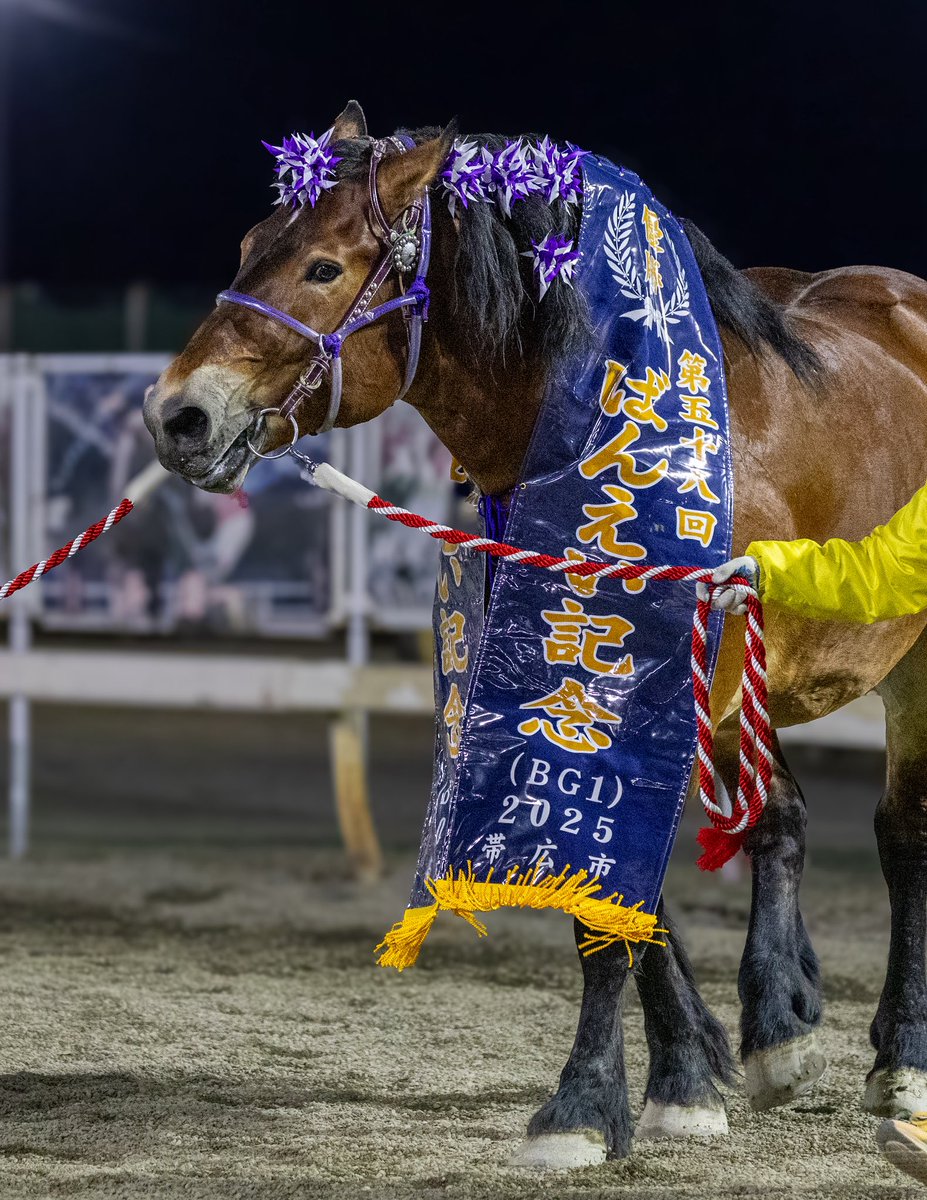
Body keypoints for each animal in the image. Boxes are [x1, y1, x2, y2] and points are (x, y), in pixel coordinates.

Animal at [142, 101, 927, 1166]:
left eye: (322, 267)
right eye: (247, 246)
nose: (176, 414)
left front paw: (585, 1103)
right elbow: (606, 883)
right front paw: (681, 1078)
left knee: (901, 835)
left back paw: (900, 1056)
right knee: (783, 821)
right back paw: (778, 1021)